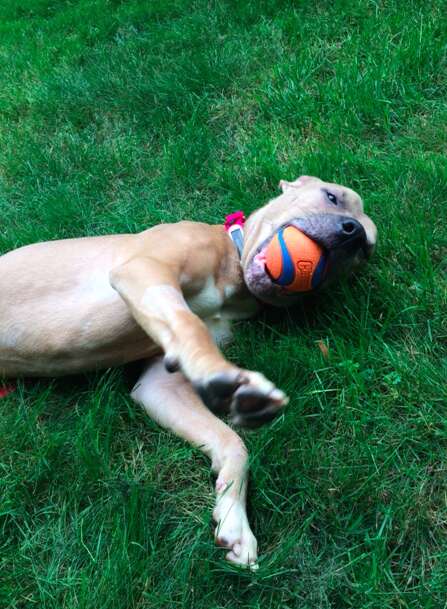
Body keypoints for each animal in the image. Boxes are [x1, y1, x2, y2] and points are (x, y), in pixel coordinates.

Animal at [0, 175, 378, 564]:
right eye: (332, 197)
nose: (352, 234)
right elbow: (189, 325)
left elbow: (233, 442)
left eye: (365, 249)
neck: (233, 272)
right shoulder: (145, 269)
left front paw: (234, 518)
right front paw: (225, 377)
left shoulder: (160, 385)